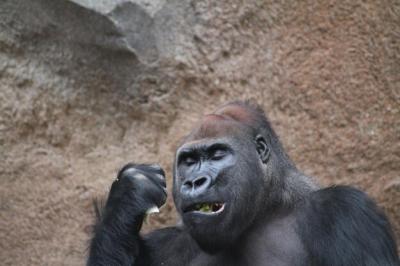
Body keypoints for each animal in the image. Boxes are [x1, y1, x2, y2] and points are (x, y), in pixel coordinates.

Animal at [87, 101, 400, 264]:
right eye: (188, 161)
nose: (195, 182)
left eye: (217, 154)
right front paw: (129, 194)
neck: (268, 209)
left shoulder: (346, 212)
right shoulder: (167, 244)